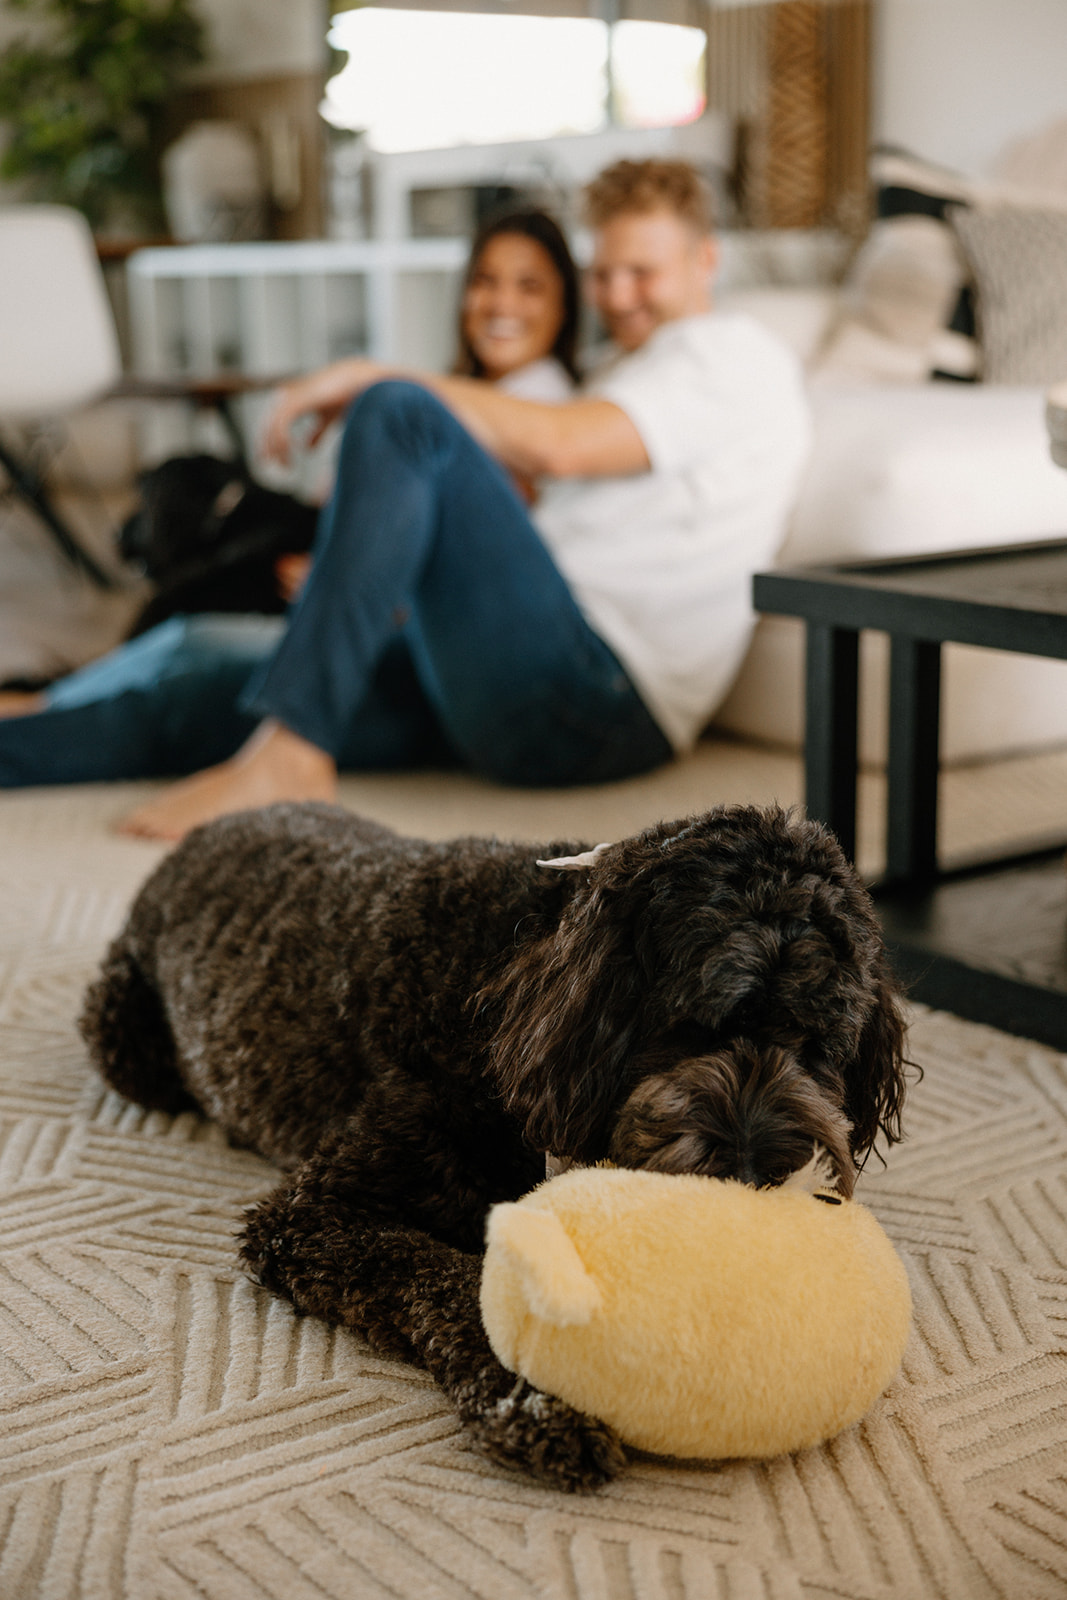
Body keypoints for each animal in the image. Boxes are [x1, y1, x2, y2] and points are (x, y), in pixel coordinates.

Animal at [79, 806, 908, 1491]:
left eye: (818, 1045)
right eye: (695, 1027)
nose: (753, 1177)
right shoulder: (315, 1213)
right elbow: (451, 1280)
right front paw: (538, 1404)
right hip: (121, 1035)